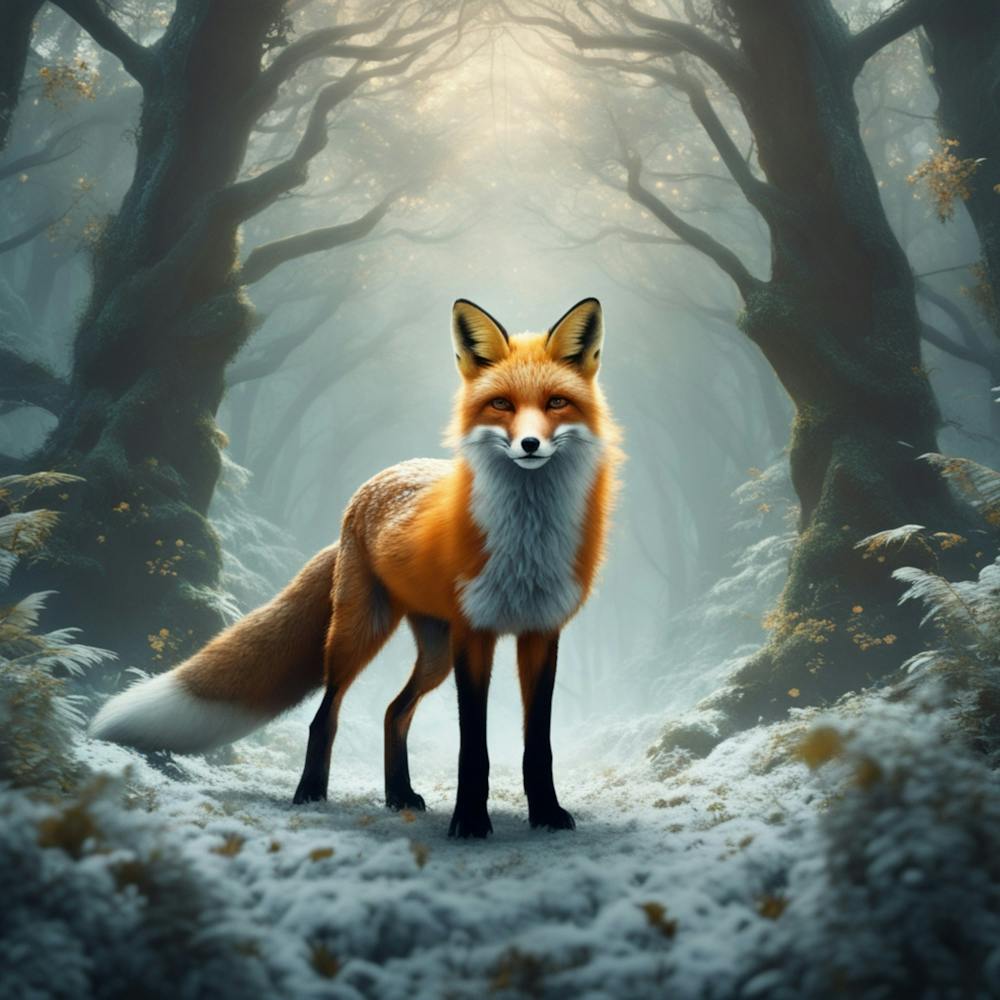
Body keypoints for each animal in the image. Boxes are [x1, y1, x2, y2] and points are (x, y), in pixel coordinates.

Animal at [91, 297, 621, 837]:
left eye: (556, 403)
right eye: (502, 405)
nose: (530, 445)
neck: (526, 540)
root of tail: (371, 485)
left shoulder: (541, 632)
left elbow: (539, 745)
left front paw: (547, 814)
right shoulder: (475, 634)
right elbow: (473, 747)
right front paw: (471, 822)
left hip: (435, 653)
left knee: (393, 712)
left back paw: (398, 795)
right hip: (359, 632)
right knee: (325, 715)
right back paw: (310, 793)